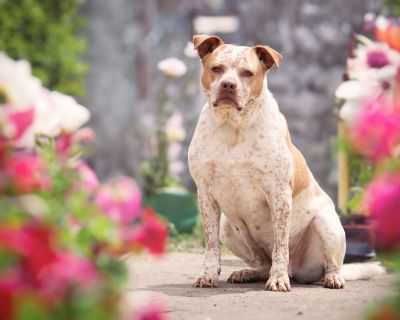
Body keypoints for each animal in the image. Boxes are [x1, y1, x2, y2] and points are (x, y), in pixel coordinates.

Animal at [188, 33, 384, 292]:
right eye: (217, 69)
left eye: (247, 73)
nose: (228, 85)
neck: (233, 126)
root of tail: (297, 271)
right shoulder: (205, 193)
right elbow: (210, 245)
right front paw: (208, 275)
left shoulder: (279, 193)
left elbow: (281, 244)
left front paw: (279, 279)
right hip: (228, 228)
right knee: (262, 263)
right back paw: (247, 273)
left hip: (326, 224)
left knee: (331, 264)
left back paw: (331, 278)